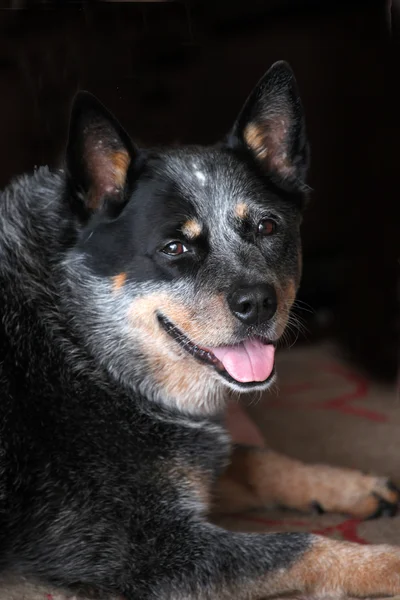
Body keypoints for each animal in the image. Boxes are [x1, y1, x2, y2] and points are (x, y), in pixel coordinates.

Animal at [0, 62, 400, 600]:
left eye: (267, 227)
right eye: (175, 248)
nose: (258, 303)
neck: (81, 343)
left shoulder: (192, 468)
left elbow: (251, 456)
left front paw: (350, 485)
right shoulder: (147, 548)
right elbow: (304, 545)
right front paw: (387, 562)